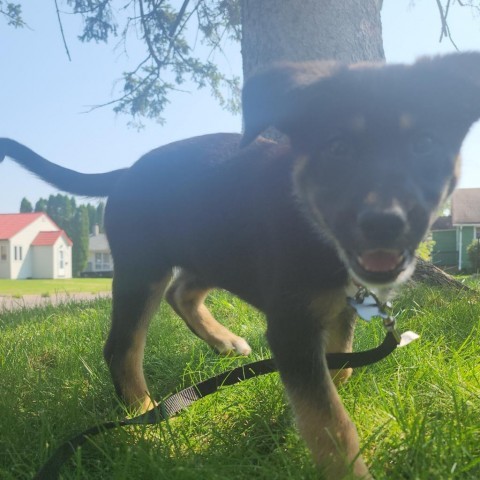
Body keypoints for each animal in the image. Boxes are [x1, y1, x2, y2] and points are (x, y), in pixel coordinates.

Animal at [0, 51, 480, 476]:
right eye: (338, 148)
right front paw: (346, 466)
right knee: (123, 346)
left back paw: (224, 343)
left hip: (213, 249)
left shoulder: (339, 307)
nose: (384, 224)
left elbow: (338, 365)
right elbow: (330, 420)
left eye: (424, 145)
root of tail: (125, 172)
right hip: (142, 265)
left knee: (182, 292)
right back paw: (145, 416)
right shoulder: (291, 325)